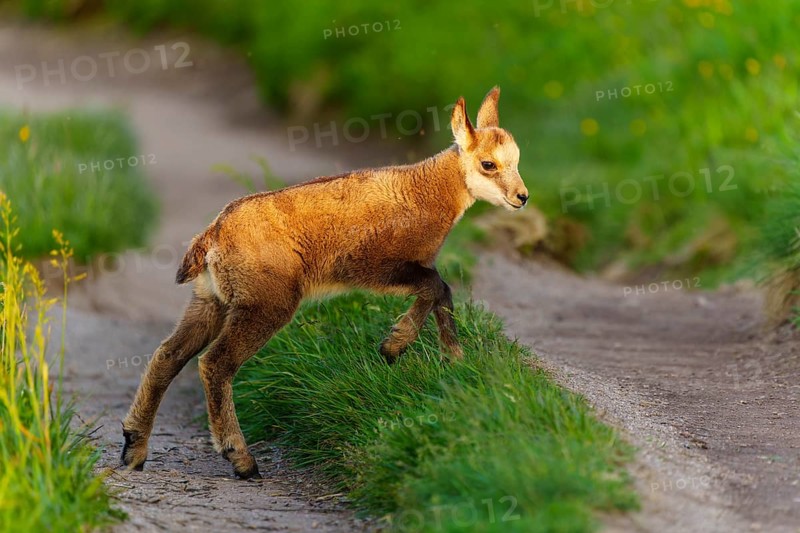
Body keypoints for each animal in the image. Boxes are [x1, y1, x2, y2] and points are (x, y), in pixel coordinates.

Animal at [121, 86, 529, 479]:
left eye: (517, 161)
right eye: (488, 164)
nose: (522, 197)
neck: (426, 191)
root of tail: (211, 237)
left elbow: (443, 292)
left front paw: (452, 359)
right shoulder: (373, 265)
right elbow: (436, 285)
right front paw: (394, 347)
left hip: (211, 300)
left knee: (168, 355)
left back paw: (133, 449)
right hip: (266, 303)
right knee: (215, 364)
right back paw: (242, 460)